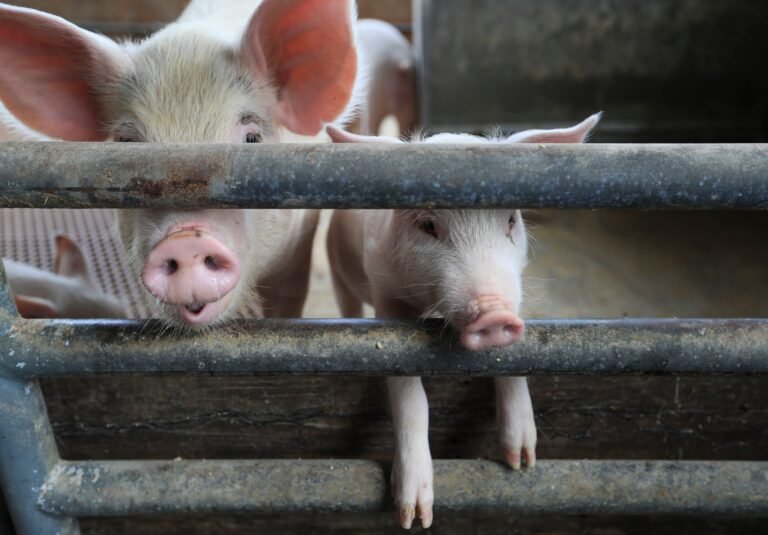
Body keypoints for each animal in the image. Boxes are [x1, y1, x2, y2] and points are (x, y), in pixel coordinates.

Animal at [325, 114, 601, 530]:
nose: (494, 312)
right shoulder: (384, 292)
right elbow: (410, 395)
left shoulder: (516, 285)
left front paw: (522, 462)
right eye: (427, 225)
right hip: (339, 269)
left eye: (510, 220)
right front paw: (415, 517)